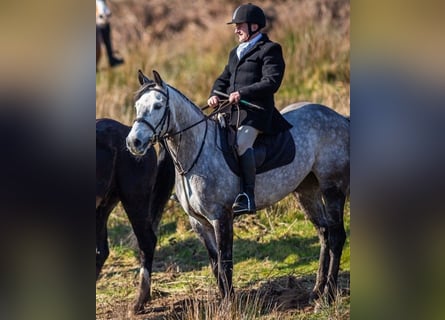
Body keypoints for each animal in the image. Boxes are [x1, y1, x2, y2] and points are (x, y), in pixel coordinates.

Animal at [125, 71, 350, 306]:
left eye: (158, 106)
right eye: (137, 106)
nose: (133, 142)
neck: (196, 152)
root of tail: (339, 118)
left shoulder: (221, 217)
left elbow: (225, 262)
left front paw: (229, 306)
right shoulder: (199, 223)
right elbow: (216, 265)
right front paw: (227, 300)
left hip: (332, 188)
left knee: (336, 237)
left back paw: (328, 295)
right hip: (306, 191)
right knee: (324, 234)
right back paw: (316, 290)